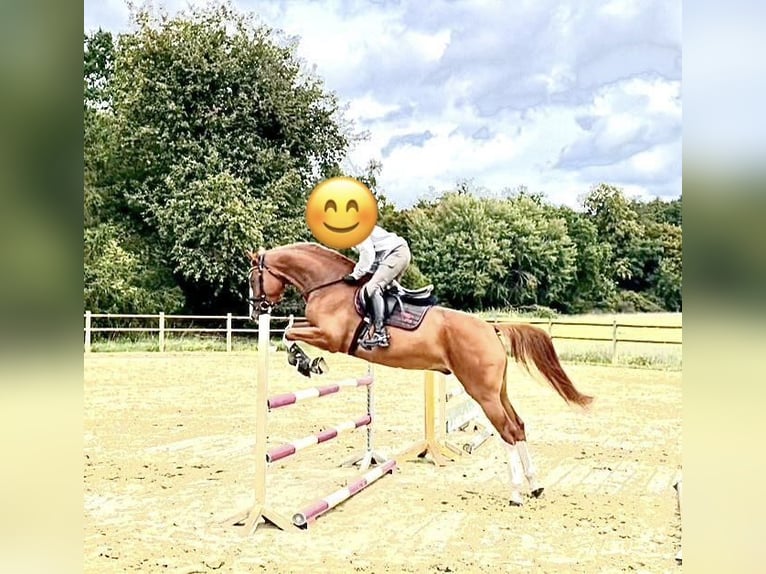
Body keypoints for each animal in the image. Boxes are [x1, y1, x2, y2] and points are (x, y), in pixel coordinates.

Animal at [247, 242, 593, 505]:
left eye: (253, 278)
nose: (254, 311)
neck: (329, 285)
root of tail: (490, 328)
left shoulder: (331, 338)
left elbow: (288, 333)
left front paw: (307, 362)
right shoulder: (319, 330)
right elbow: (291, 327)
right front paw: (304, 361)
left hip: (482, 392)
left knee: (507, 430)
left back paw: (517, 493)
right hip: (498, 391)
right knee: (518, 426)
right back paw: (535, 484)